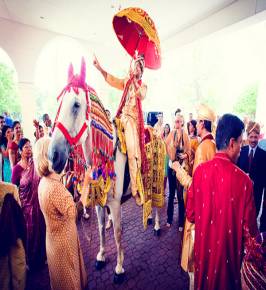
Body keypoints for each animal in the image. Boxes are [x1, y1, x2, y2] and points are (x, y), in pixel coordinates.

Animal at [47, 59, 164, 284]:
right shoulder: (100, 202)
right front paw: (101, 255)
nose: (53, 155)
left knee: (157, 204)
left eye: (76, 105)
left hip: (159, 180)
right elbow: (101, 228)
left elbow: (117, 234)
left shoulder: (115, 204)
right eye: (60, 103)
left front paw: (119, 268)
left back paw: (155, 225)